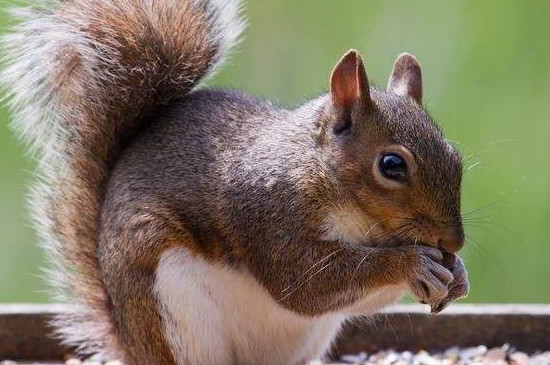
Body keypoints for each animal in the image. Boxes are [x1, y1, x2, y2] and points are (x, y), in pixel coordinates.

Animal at [1, 0, 470, 364]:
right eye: (391, 165)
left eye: (455, 155)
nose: (455, 241)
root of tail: (131, 342)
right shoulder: (268, 212)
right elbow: (304, 284)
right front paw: (410, 263)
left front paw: (457, 273)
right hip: (173, 310)